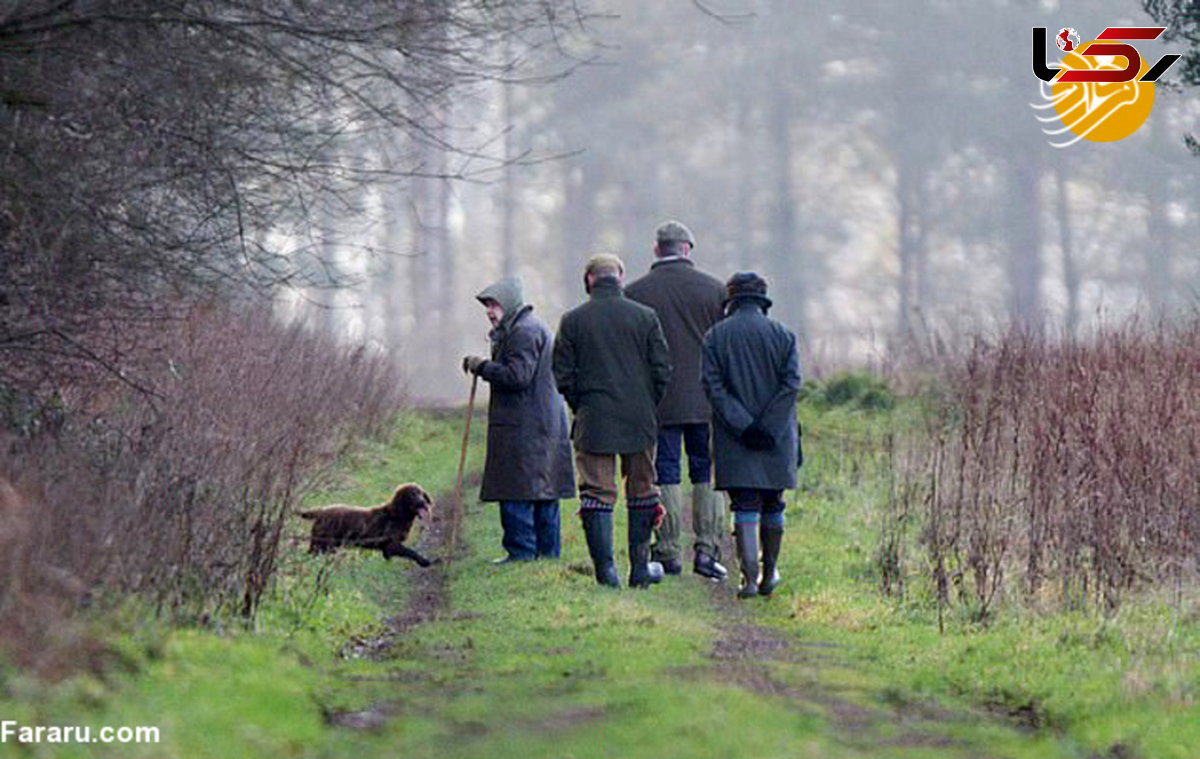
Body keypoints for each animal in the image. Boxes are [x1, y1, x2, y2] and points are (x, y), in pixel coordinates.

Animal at [300, 482, 436, 566]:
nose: (423, 502)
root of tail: (320, 511)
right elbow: (411, 552)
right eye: (412, 494)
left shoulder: (387, 549)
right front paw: (425, 562)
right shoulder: (393, 545)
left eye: (421, 493)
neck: (397, 515)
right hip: (322, 544)